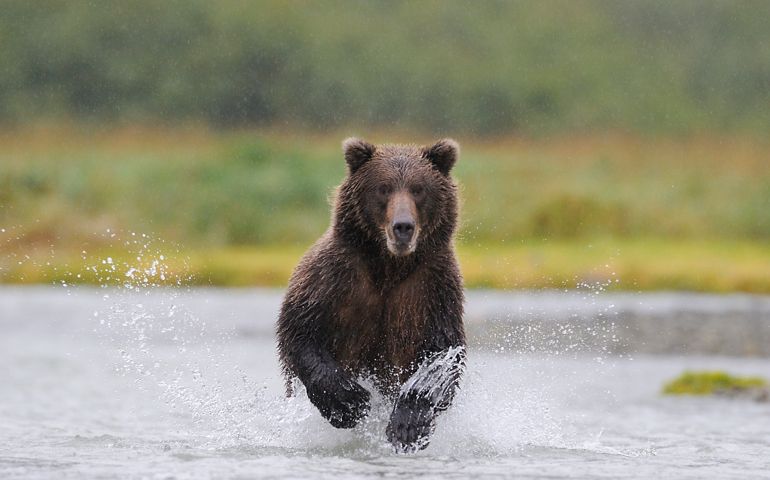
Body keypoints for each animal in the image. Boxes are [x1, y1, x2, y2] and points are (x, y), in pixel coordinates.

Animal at [276, 138, 466, 452]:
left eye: (418, 188)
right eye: (383, 187)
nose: (403, 227)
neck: (389, 266)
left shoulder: (433, 288)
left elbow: (443, 354)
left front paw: (408, 425)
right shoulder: (334, 277)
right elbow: (301, 332)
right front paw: (349, 403)